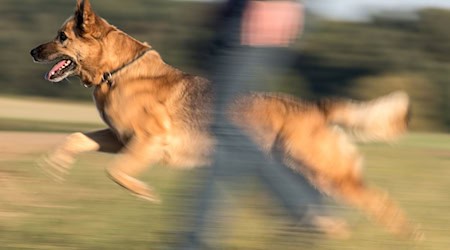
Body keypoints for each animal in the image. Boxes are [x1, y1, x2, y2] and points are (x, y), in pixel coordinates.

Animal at [30, 0, 422, 239]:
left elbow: (117, 172)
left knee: (380, 202)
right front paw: (55, 166)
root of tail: (316, 107)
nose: (33, 52)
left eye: (61, 37)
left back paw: (406, 236)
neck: (118, 71)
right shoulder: (118, 138)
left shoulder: (147, 142)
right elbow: (76, 138)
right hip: (298, 168)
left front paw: (145, 193)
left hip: (327, 171)